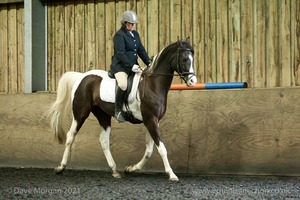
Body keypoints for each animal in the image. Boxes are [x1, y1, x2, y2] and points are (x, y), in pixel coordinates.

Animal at [46, 37, 197, 181]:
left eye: (192, 59)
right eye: (184, 59)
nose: (193, 81)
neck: (153, 85)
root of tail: (82, 76)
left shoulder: (152, 121)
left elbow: (149, 150)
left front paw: (131, 168)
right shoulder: (151, 120)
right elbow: (161, 148)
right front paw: (172, 174)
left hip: (103, 115)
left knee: (104, 141)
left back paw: (114, 170)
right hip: (80, 113)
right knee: (70, 136)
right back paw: (60, 167)